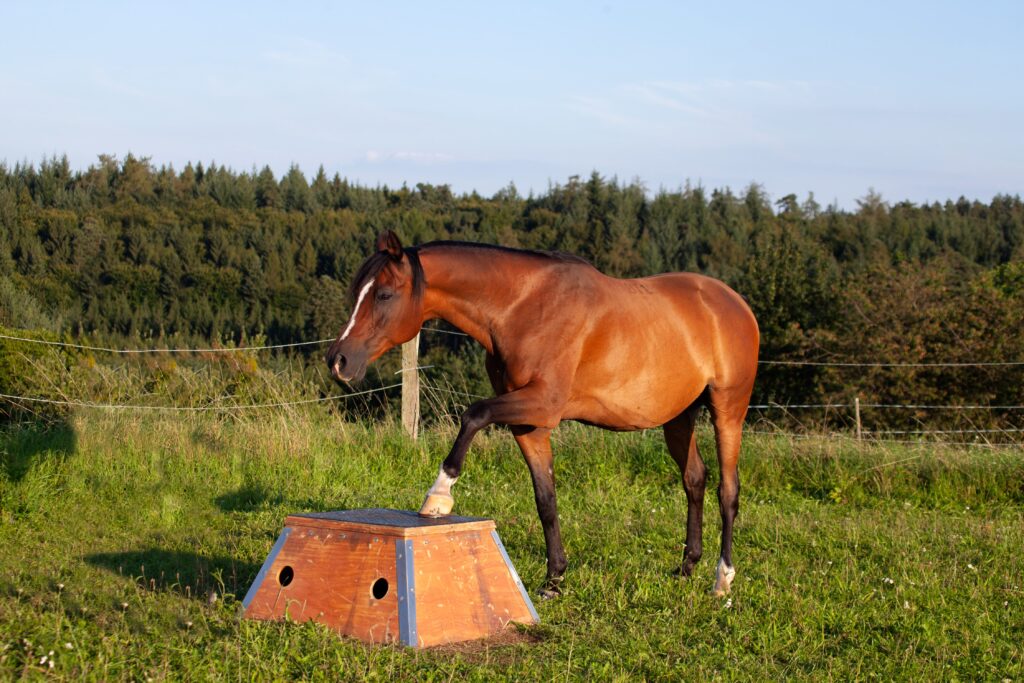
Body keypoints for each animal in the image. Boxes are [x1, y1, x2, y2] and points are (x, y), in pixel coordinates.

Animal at [326, 230, 759, 598]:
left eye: (384, 294)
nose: (338, 360)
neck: (522, 308)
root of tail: (735, 303)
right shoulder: (528, 424)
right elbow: (546, 500)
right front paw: (554, 580)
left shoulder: (542, 404)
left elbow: (473, 415)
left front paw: (439, 496)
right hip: (678, 417)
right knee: (694, 480)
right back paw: (686, 567)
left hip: (728, 412)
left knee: (728, 491)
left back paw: (722, 580)